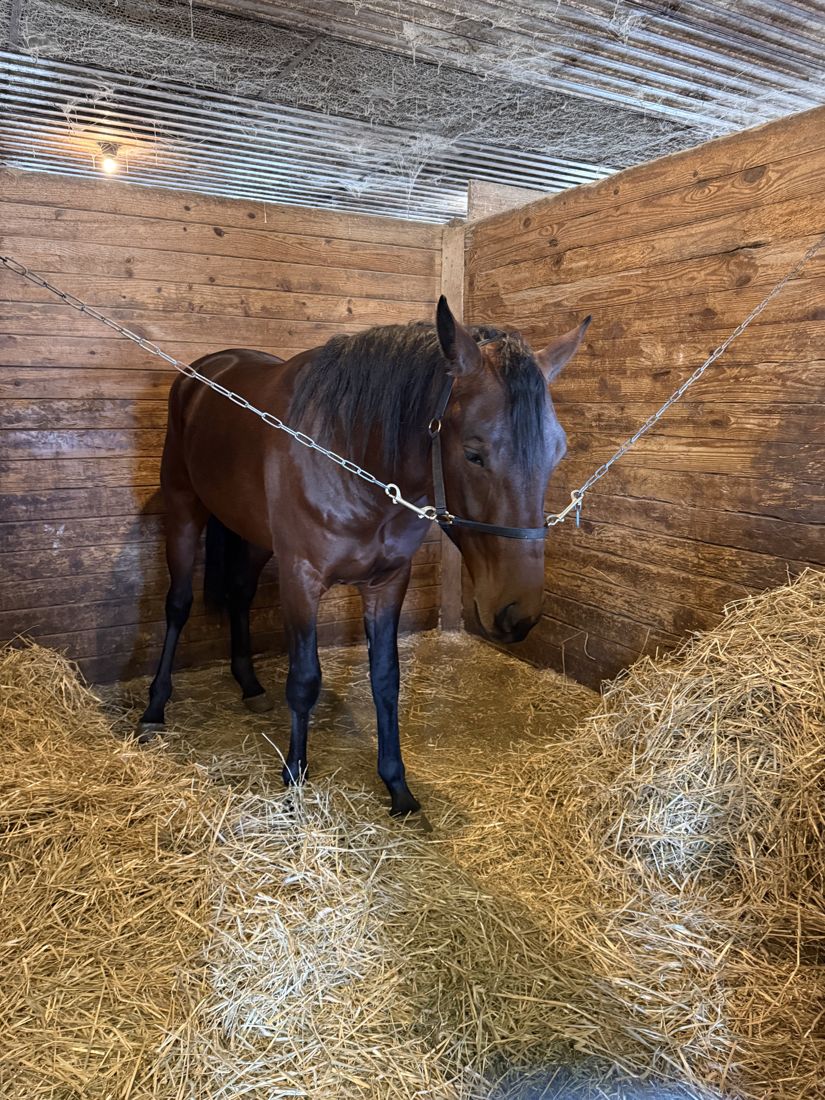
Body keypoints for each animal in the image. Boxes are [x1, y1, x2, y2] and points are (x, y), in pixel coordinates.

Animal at [138, 297, 590, 815]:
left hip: (253, 536)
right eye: (474, 453)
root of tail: (205, 370)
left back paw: (249, 685)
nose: (517, 616)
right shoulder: (301, 578)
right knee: (178, 604)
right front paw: (295, 776)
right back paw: (154, 708)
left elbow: (385, 680)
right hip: (183, 510)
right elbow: (304, 681)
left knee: (239, 594)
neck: (351, 453)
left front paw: (397, 784)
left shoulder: (388, 581)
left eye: (558, 452)